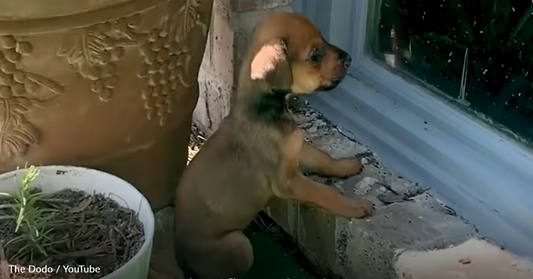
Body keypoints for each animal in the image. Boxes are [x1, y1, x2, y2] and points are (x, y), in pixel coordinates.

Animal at [172, 11, 372, 279]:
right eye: (315, 54)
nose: (349, 58)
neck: (267, 108)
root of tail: (178, 255)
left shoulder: (297, 148)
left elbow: (324, 158)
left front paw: (346, 165)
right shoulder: (287, 181)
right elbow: (325, 192)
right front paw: (354, 206)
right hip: (239, 246)